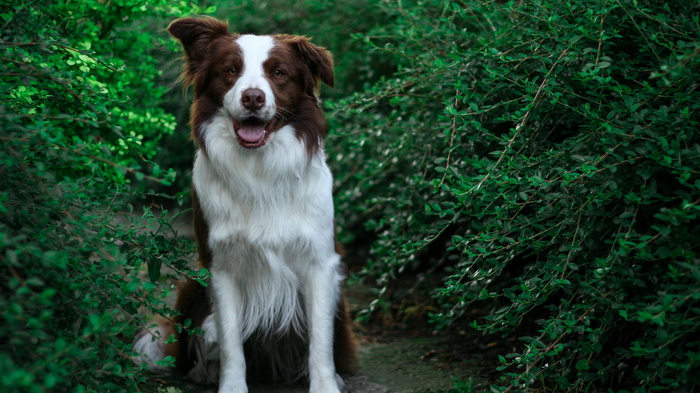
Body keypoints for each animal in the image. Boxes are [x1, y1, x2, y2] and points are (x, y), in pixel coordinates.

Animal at [133, 16, 356, 392]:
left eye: (278, 73)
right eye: (231, 70)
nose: (253, 97)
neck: (259, 171)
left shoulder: (320, 263)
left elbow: (320, 340)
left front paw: (326, 384)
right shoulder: (220, 266)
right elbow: (230, 341)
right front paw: (231, 385)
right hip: (193, 285)